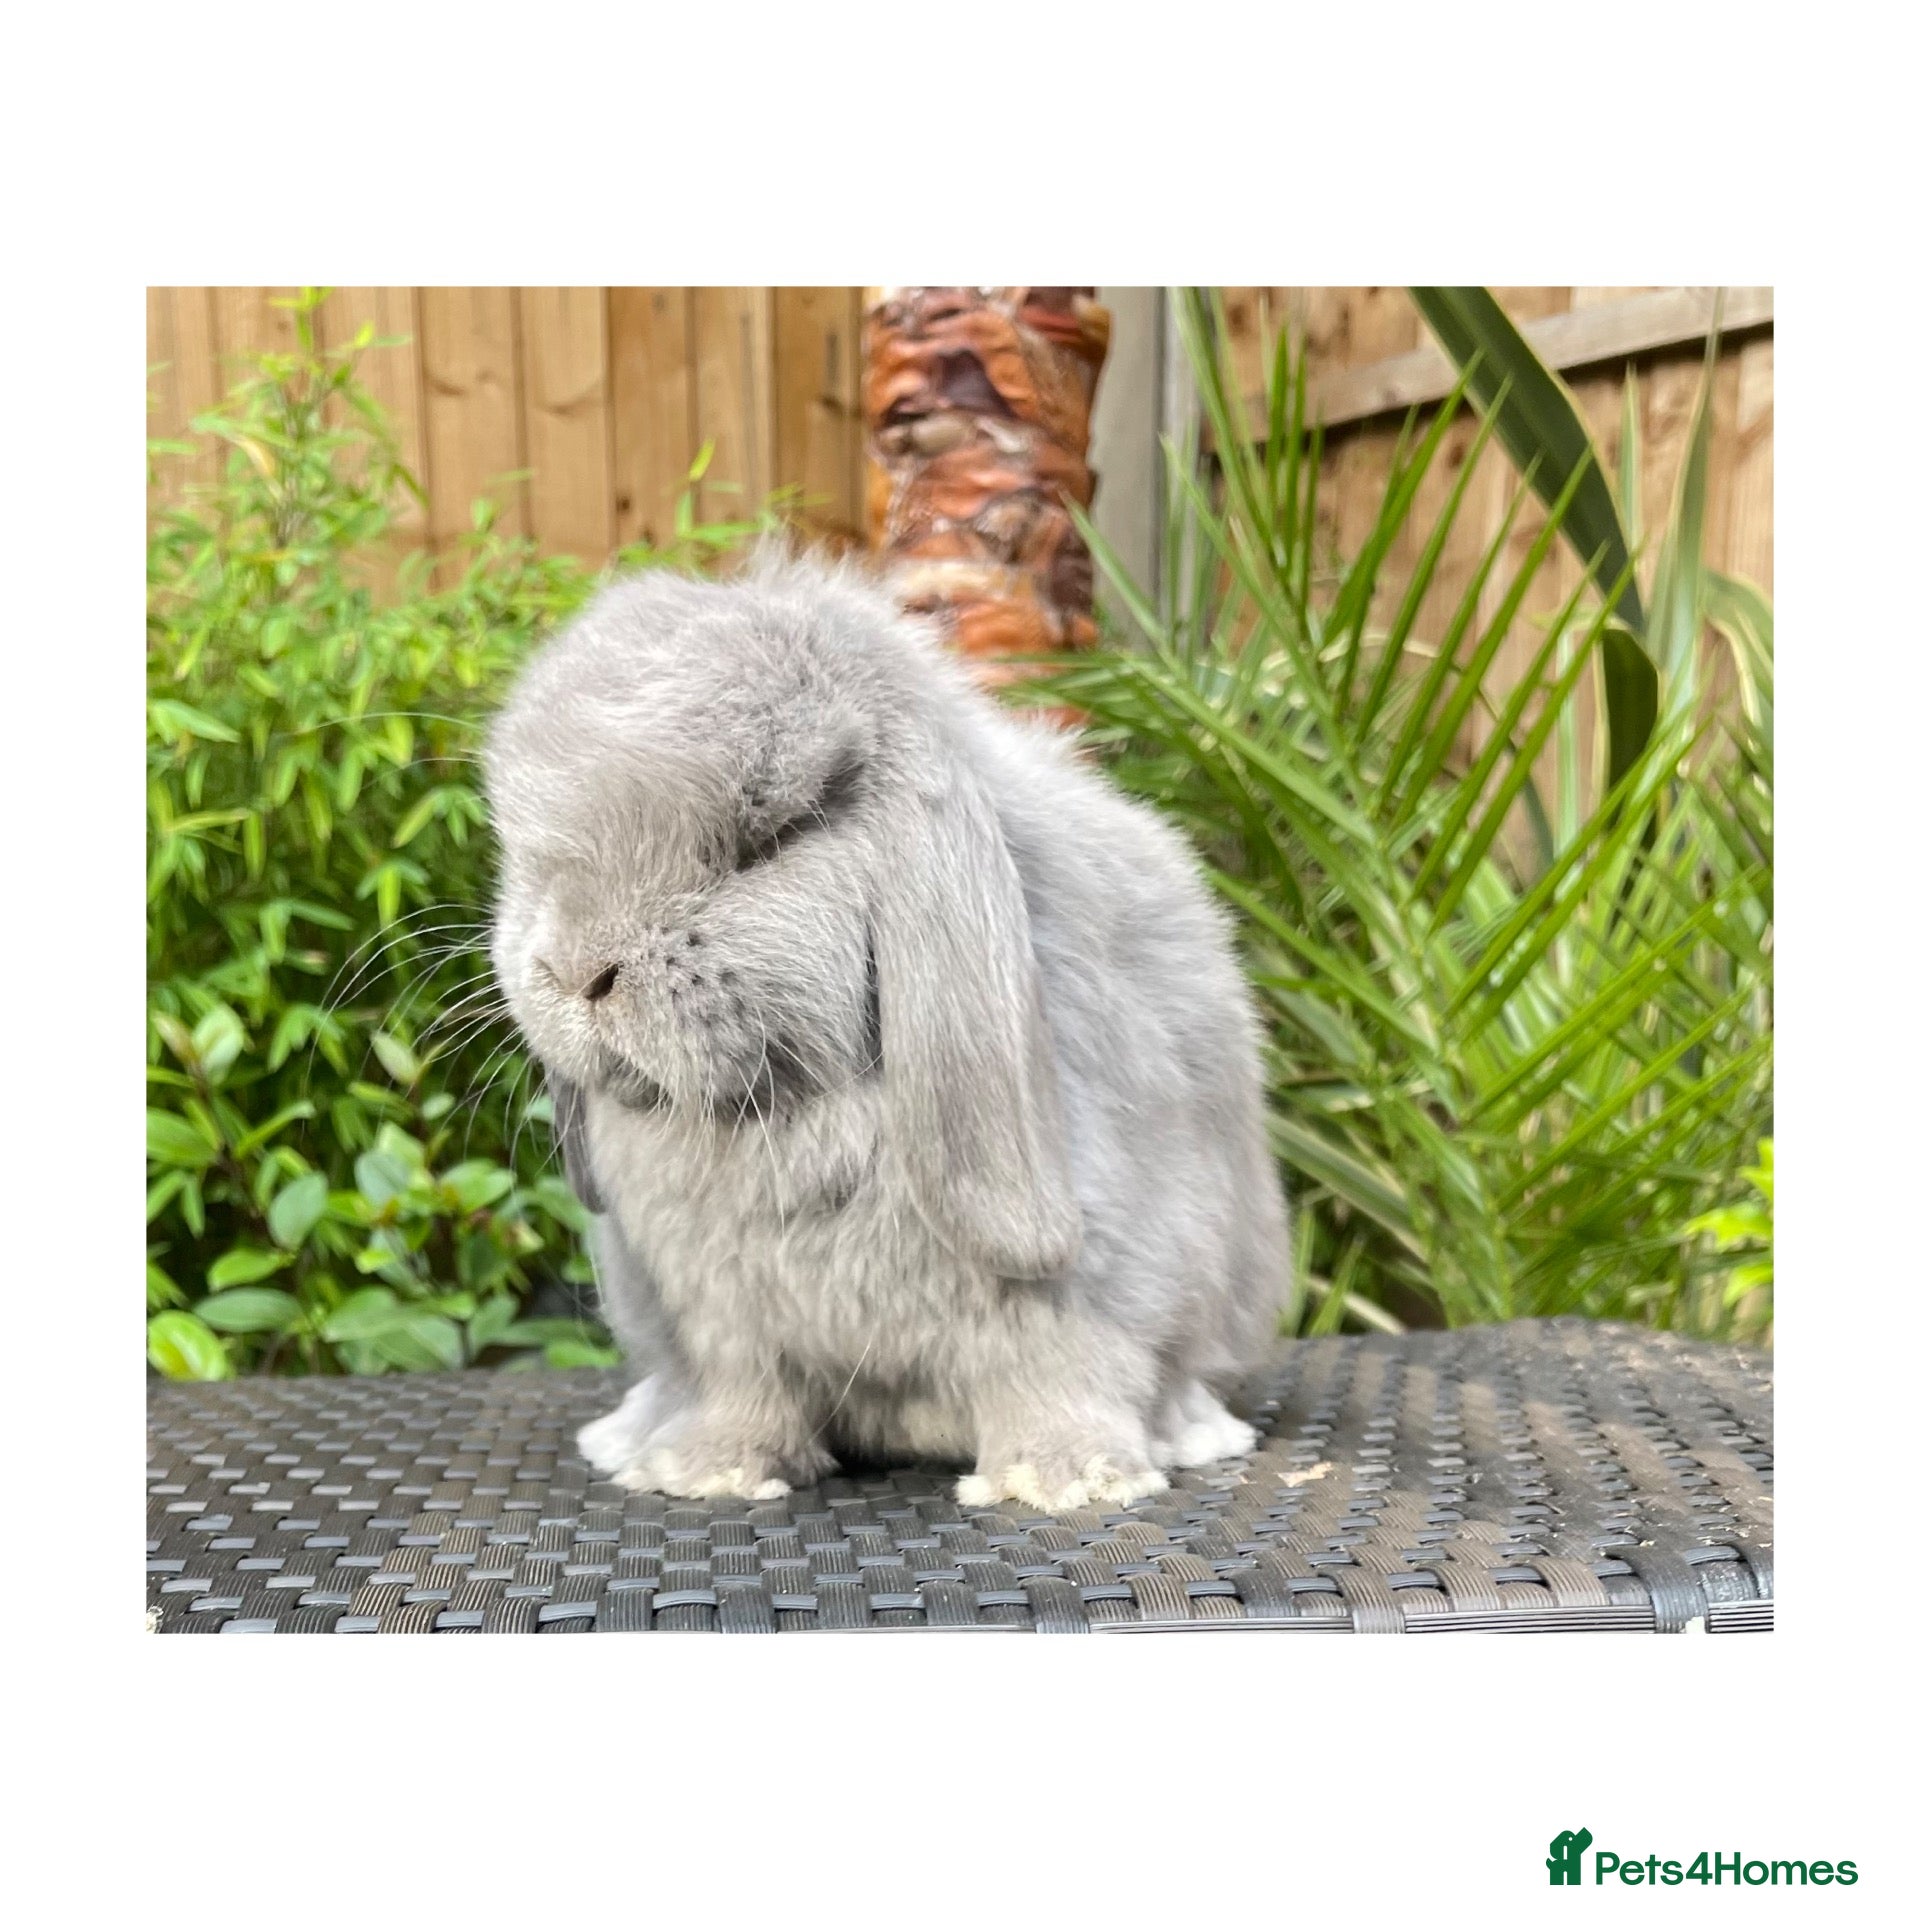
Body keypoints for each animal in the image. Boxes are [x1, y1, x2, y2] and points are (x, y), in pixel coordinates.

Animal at [482, 546, 1289, 1510]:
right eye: (527, 854)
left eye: (775, 838)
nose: (576, 971)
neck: (785, 1113)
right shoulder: (718, 1319)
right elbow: (740, 1392)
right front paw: (707, 1470)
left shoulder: (1094, 1276)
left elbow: (1066, 1368)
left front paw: (1065, 1480)